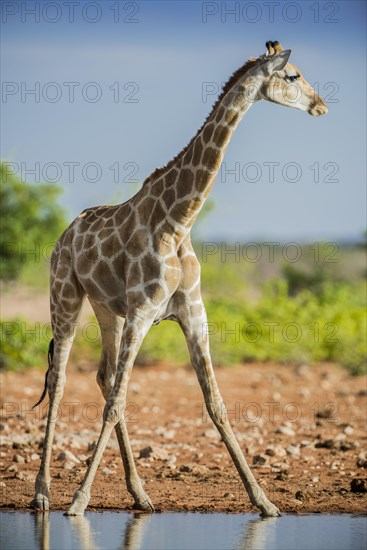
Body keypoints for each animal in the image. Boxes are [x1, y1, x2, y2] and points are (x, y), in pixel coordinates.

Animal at [30, 41, 328, 520]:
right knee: (61, 382)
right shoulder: (142, 312)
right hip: (66, 298)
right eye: (293, 76)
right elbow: (116, 404)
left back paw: (140, 494)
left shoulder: (192, 313)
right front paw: (77, 501)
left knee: (103, 377)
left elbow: (216, 404)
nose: (321, 106)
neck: (179, 219)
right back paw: (43, 493)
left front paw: (264, 501)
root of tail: (64, 235)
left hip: (107, 311)